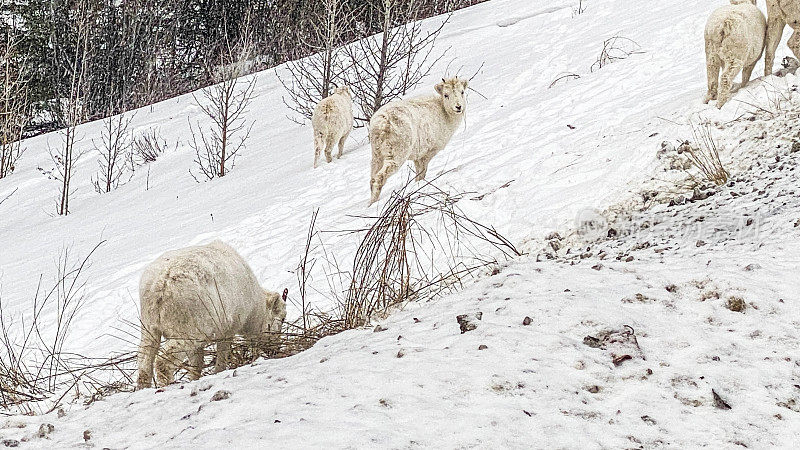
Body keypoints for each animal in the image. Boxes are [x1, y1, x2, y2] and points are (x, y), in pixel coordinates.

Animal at [138, 241, 288, 388]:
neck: (256, 309)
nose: (275, 349)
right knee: (163, 361)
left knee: (144, 361)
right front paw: (219, 371)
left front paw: (194, 379)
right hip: (186, 330)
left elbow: (197, 364)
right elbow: (222, 355)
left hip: (149, 327)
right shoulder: (227, 330)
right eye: (282, 318)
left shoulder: (199, 343)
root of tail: (160, 285)